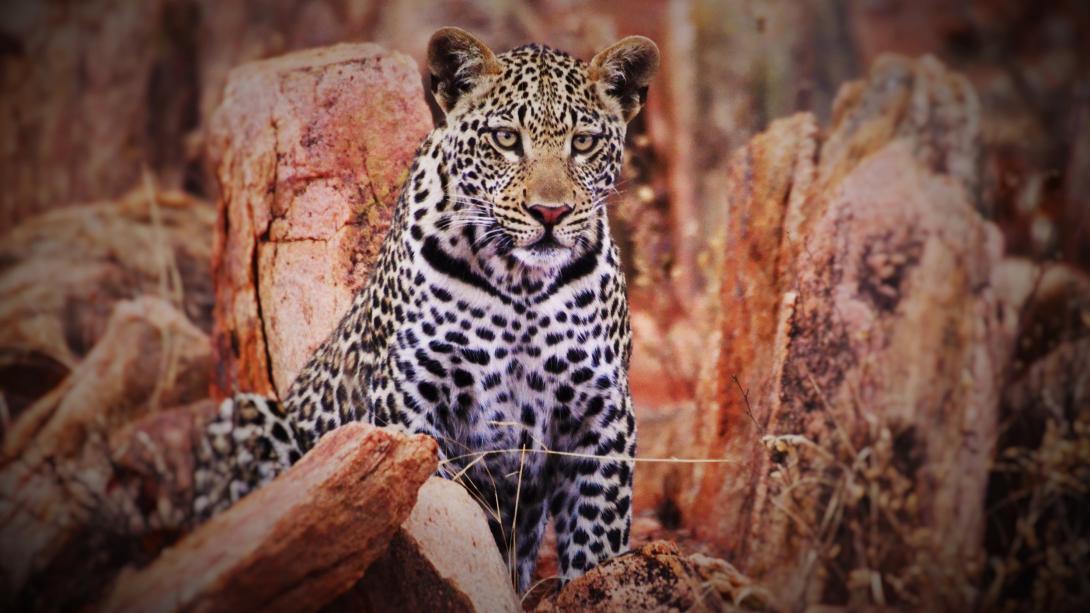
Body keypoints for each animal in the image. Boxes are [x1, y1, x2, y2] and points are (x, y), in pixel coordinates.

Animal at [194, 27, 659, 593]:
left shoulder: (601, 411)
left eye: (584, 142)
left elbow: (598, 532)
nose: (549, 213)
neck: (521, 284)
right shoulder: (412, 406)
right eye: (506, 139)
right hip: (246, 414)